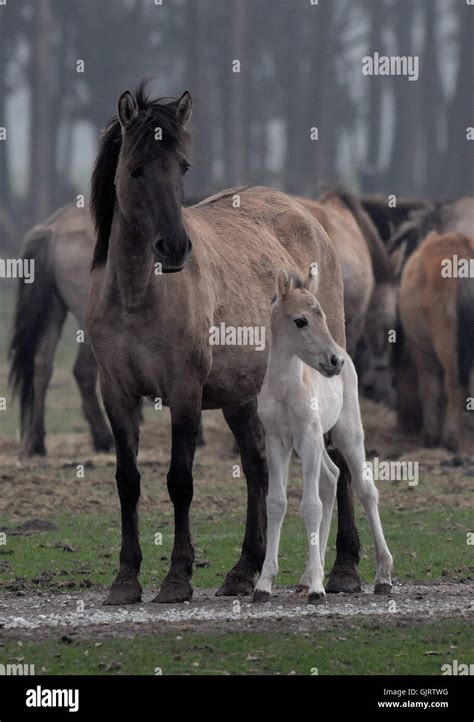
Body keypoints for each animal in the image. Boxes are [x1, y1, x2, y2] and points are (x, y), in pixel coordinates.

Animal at [9, 205, 113, 456]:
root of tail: (53, 228)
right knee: (82, 371)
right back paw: (103, 438)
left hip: (54, 312)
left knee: (41, 365)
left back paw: (36, 442)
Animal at [85, 81, 361, 605]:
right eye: (136, 168)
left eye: (183, 167)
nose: (174, 247)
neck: (137, 295)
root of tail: (310, 217)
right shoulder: (116, 392)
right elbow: (128, 481)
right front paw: (125, 579)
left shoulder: (184, 391)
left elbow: (179, 480)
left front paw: (177, 578)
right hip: (242, 396)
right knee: (257, 468)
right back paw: (245, 570)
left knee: (340, 463)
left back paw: (345, 570)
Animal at [253, 267, 392, 603]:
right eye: (301, 320)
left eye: (324, 316)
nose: (334, 361)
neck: (286, 388)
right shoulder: (277, 442)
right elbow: (276, 502)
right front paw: (264, 583)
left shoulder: (309, 436)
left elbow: (311, 505)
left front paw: (318, 587)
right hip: (315, 446)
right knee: (331, 478)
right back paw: (305, 578)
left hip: (347, 435)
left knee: (365, 489)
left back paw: (383, 576)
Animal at [399, 231, 474, 451]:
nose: (403, 424)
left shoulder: (422, 352)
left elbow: (429, 389)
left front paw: (431, 434)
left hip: (447, 343)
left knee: (454, 384)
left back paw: (450, 437)